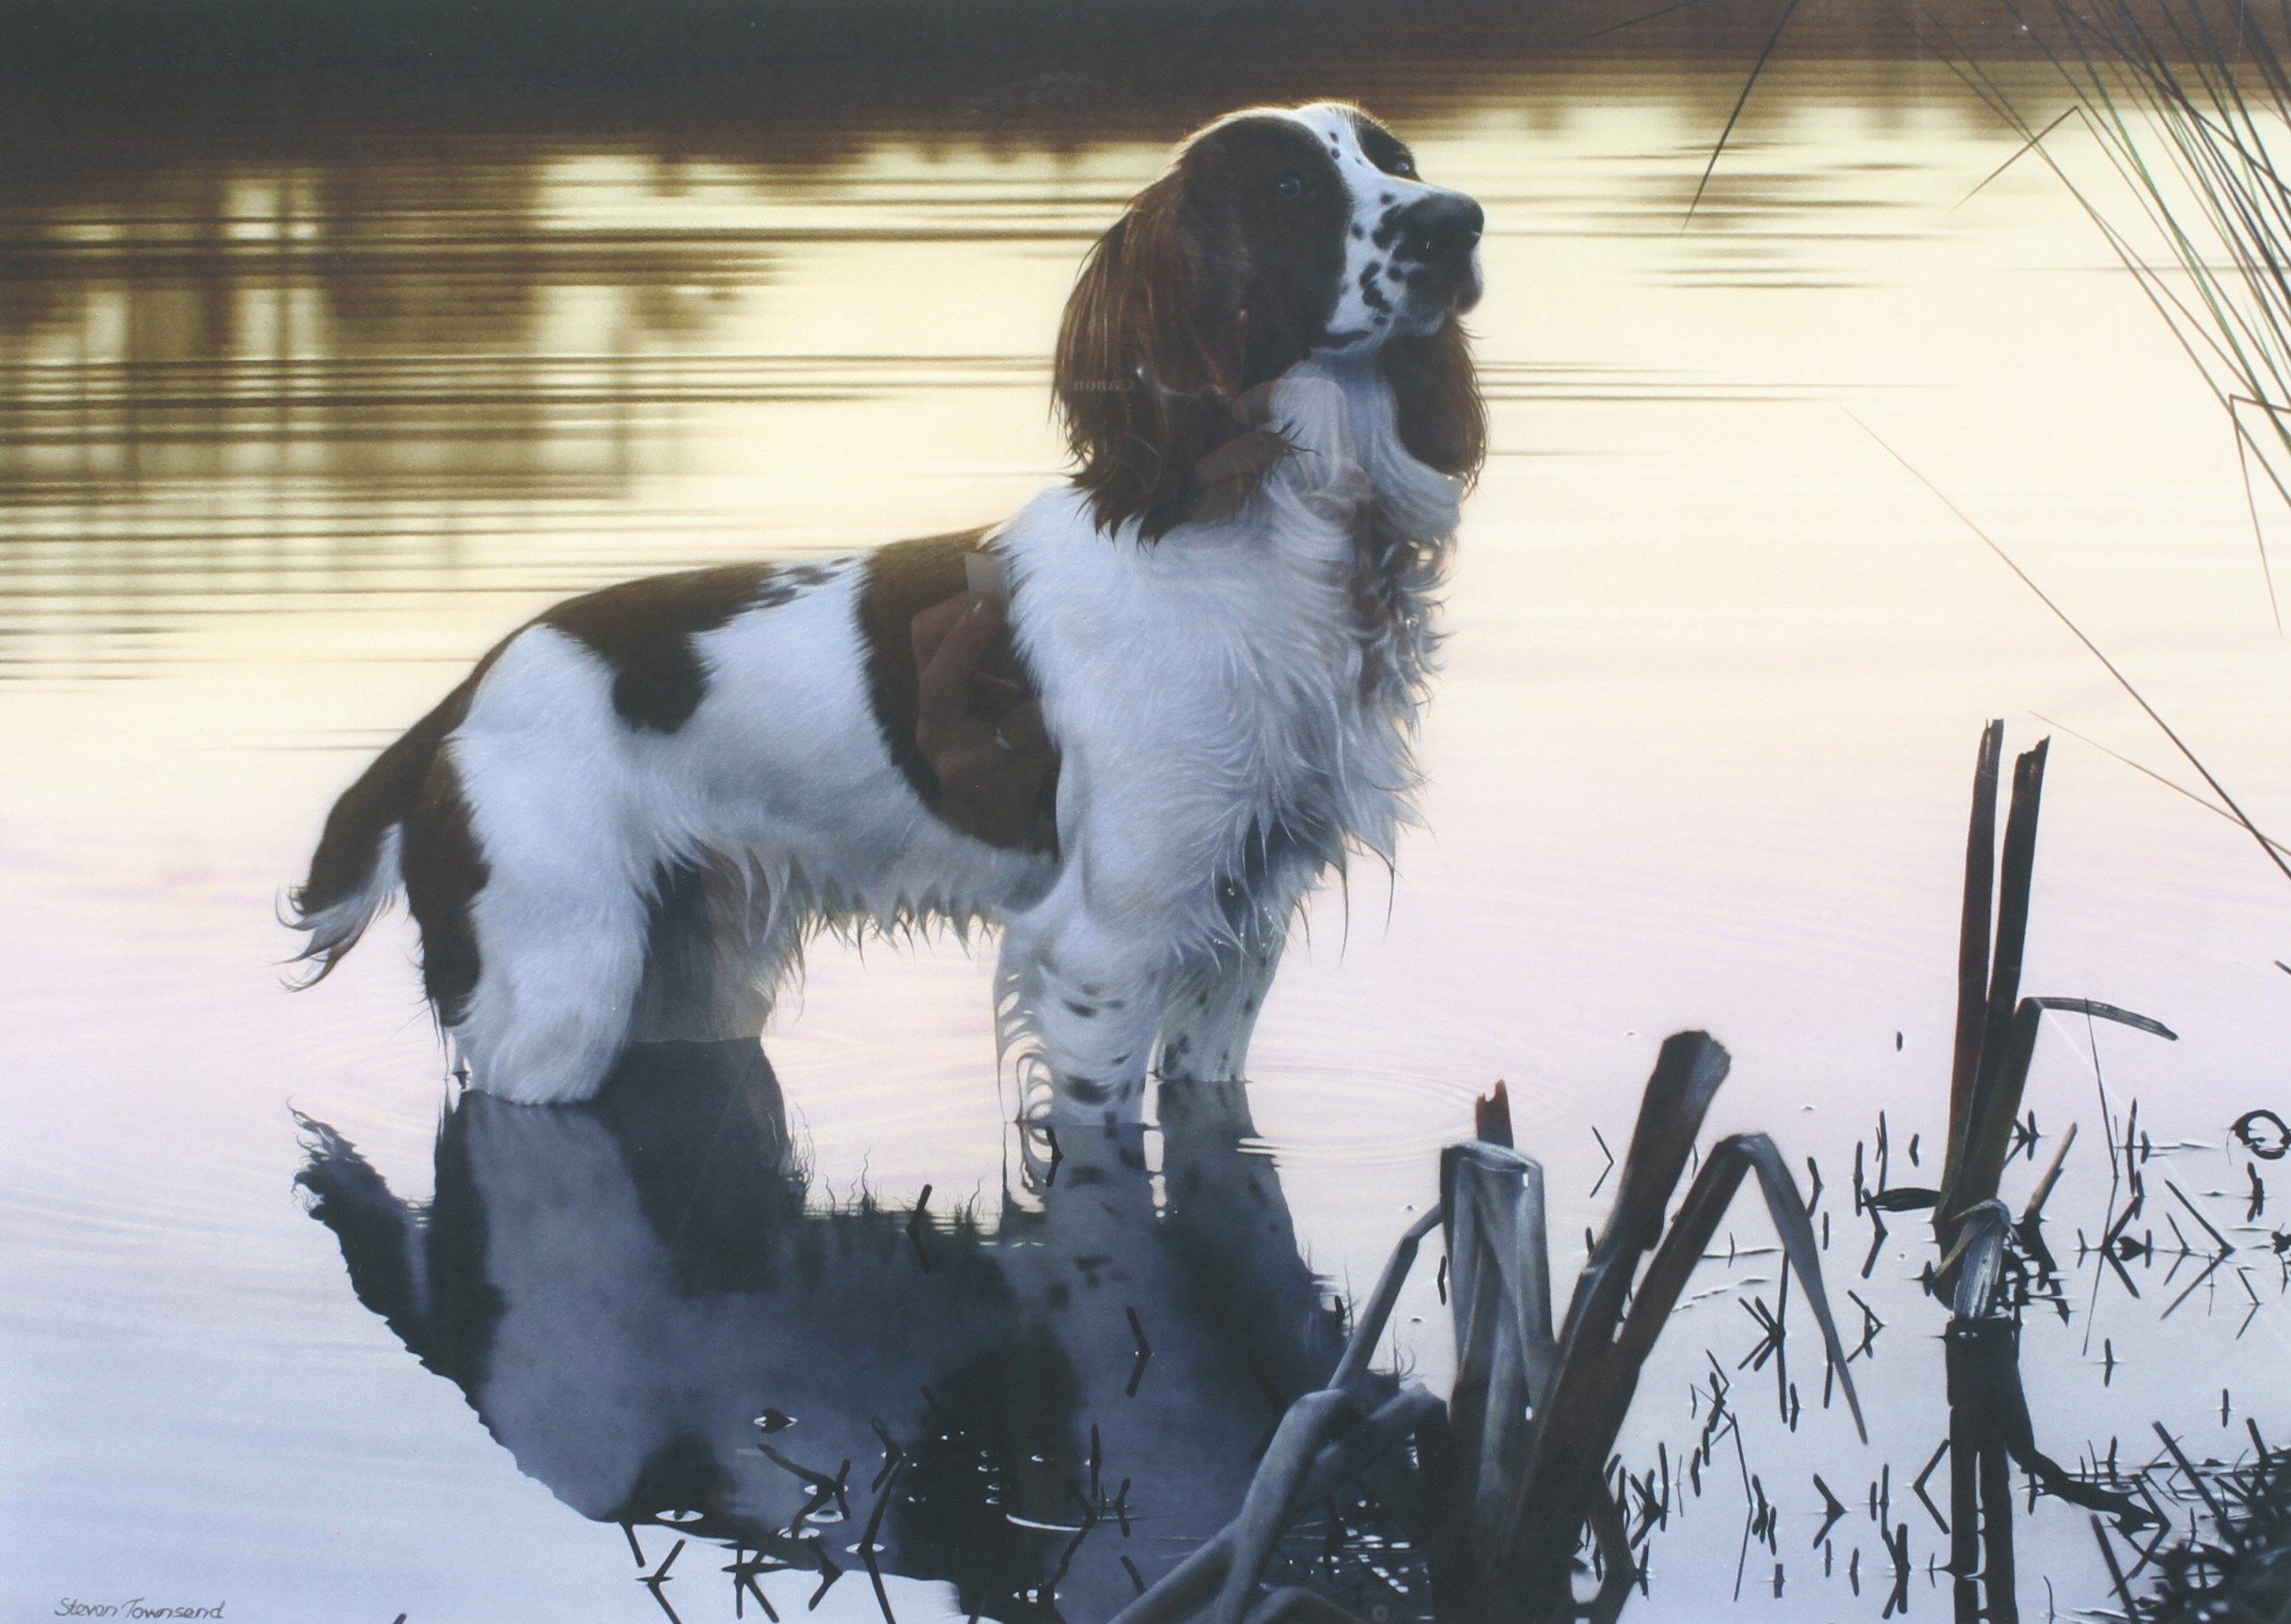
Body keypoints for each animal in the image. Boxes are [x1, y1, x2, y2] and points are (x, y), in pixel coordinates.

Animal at [290, 98, 1484, 1113]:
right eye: (1289, 186)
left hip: (691, 983)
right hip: (559, 993)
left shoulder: (1242, 924)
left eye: (1396, 158)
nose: (1458, 222)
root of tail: (462, 698)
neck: (1279, 536)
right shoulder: (1106, 944)